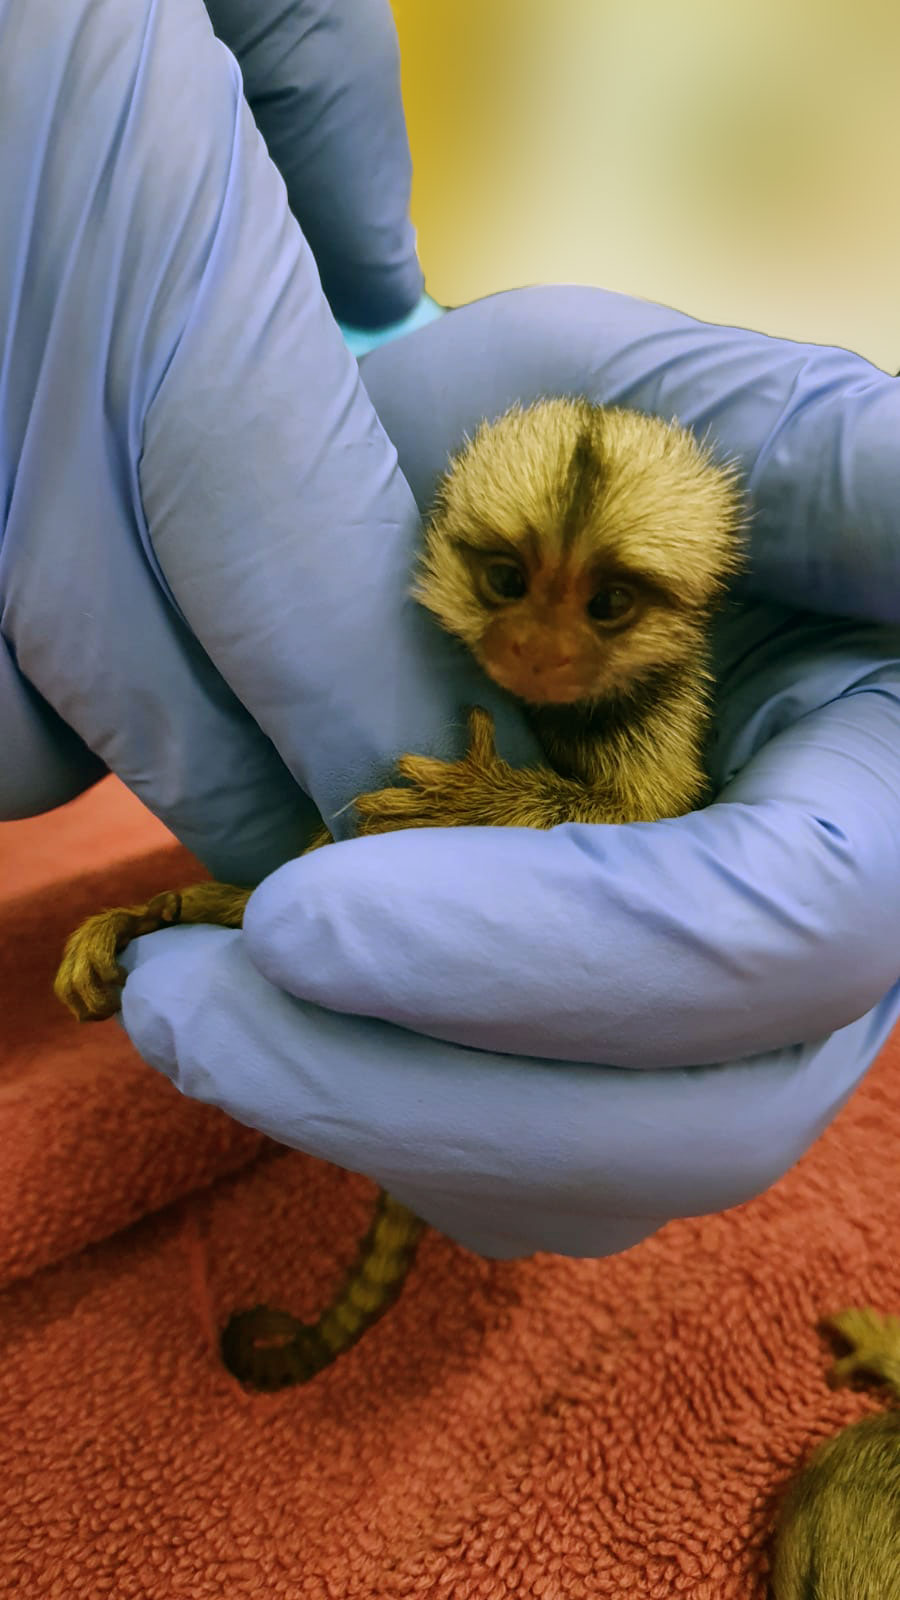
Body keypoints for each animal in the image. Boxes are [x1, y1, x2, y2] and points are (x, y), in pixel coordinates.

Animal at [54, 396, 745, 1389]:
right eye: (507, 582)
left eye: (607, 604)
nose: (537, 648)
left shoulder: (659, 722)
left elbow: (651, 819)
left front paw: (478, 805)